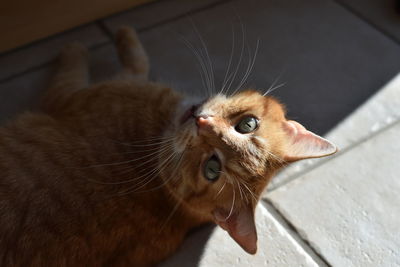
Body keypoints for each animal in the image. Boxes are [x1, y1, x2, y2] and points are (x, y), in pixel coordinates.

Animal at [0, 26, 338, 266]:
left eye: (211, 169)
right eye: (248, 124)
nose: (202, 123)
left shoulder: (70, 95)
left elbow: (103, 64)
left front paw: (93, 42)